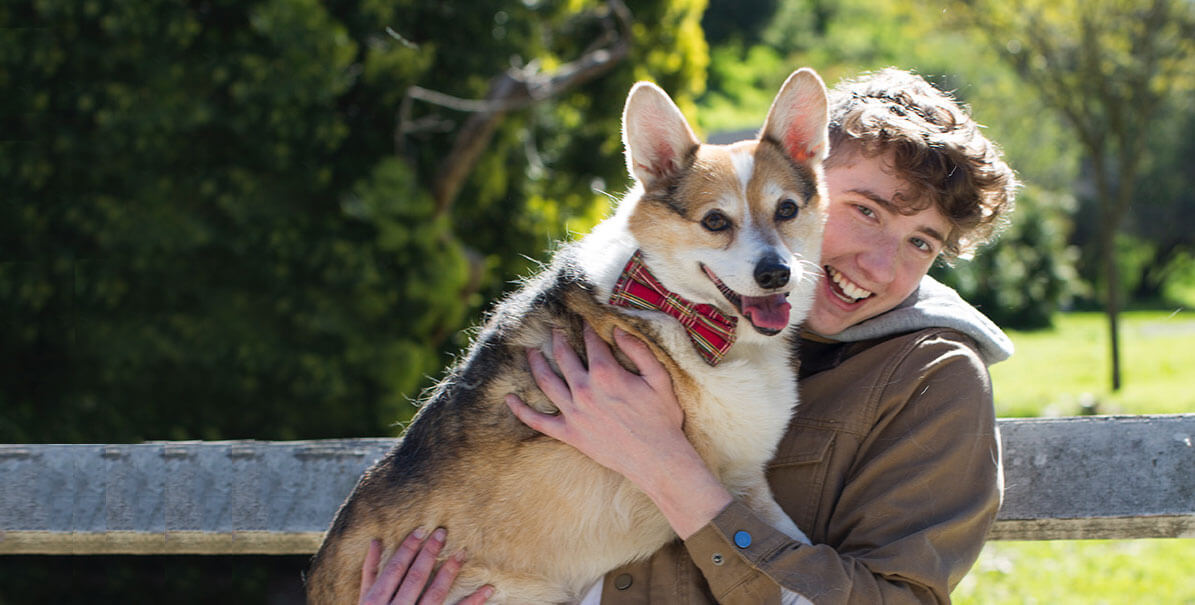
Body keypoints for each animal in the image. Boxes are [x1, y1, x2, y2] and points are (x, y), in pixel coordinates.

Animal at [308, 68, 826, 602]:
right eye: (716, 221)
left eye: (787, 210)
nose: (776, 274)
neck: (679, 309)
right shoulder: (728, 478)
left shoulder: (743, 486)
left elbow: (791, 555)